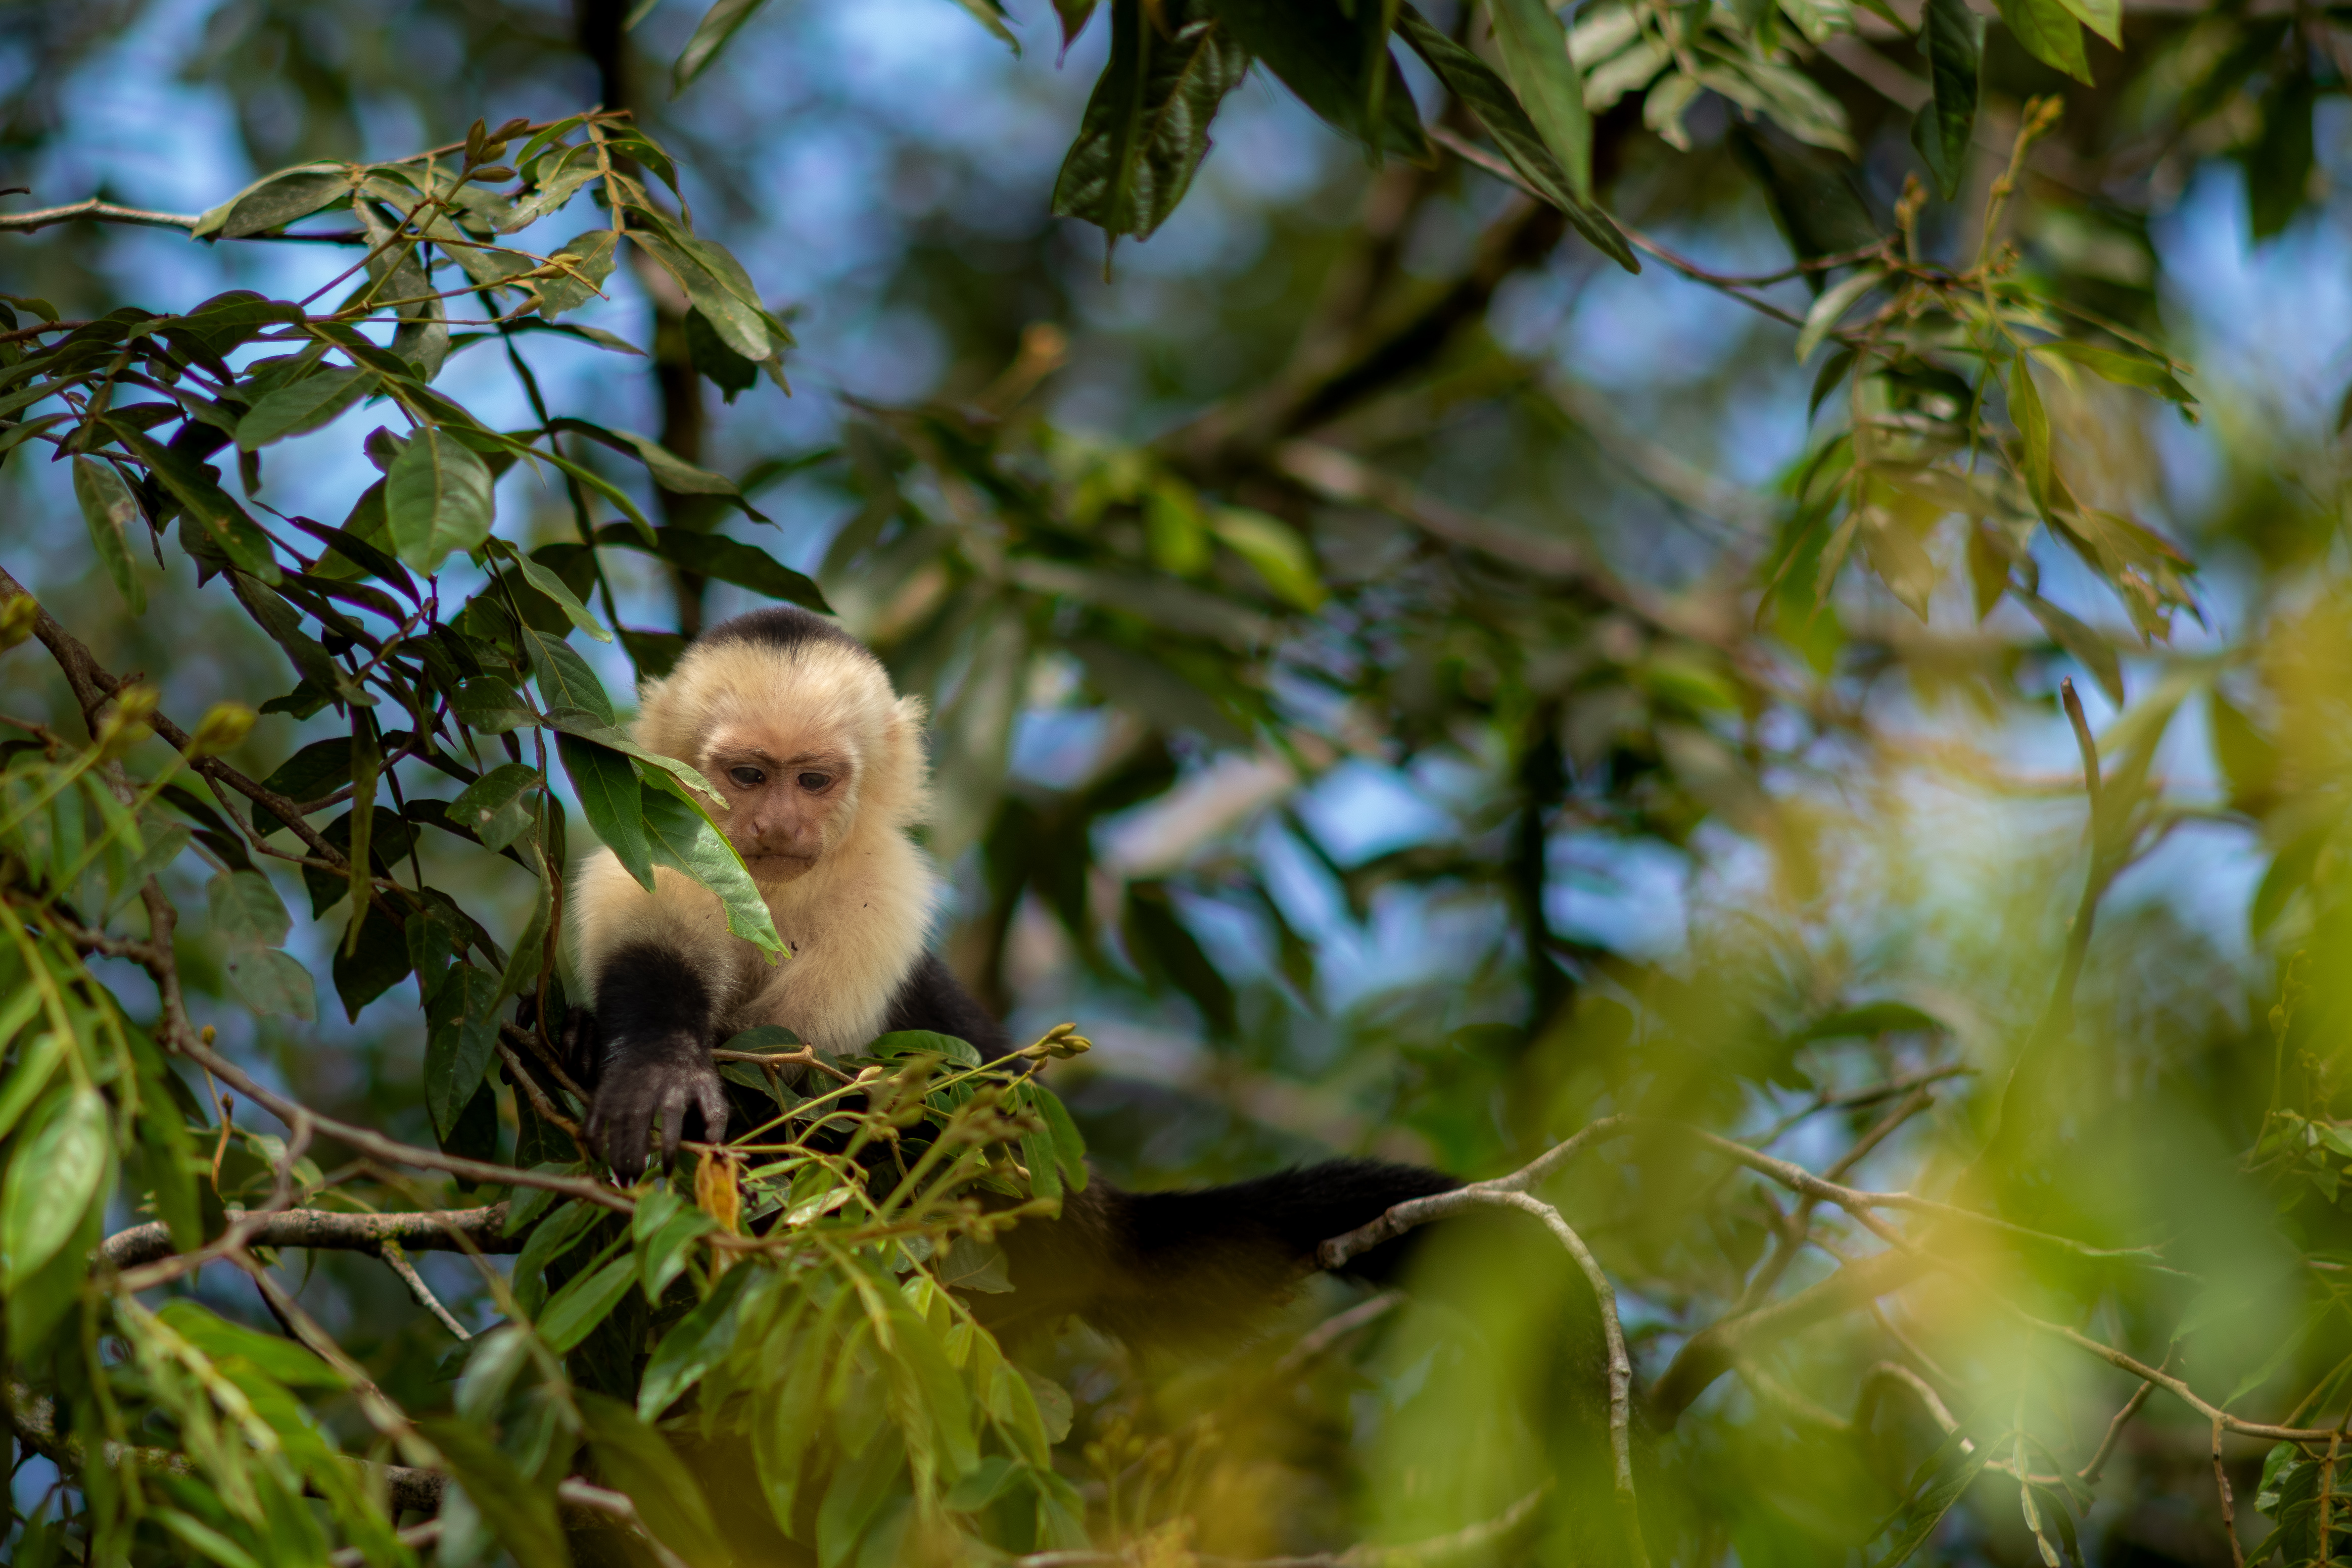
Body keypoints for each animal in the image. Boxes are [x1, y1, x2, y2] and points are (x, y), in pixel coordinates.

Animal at [564, 606, 1448, 1345]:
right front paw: (655, 1066)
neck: (776, 887)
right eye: (748, 774)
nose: (779, 826)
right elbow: (655, 952)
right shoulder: (667, 832)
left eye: (813, 780)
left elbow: (812, 1094)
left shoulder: (883, 892)